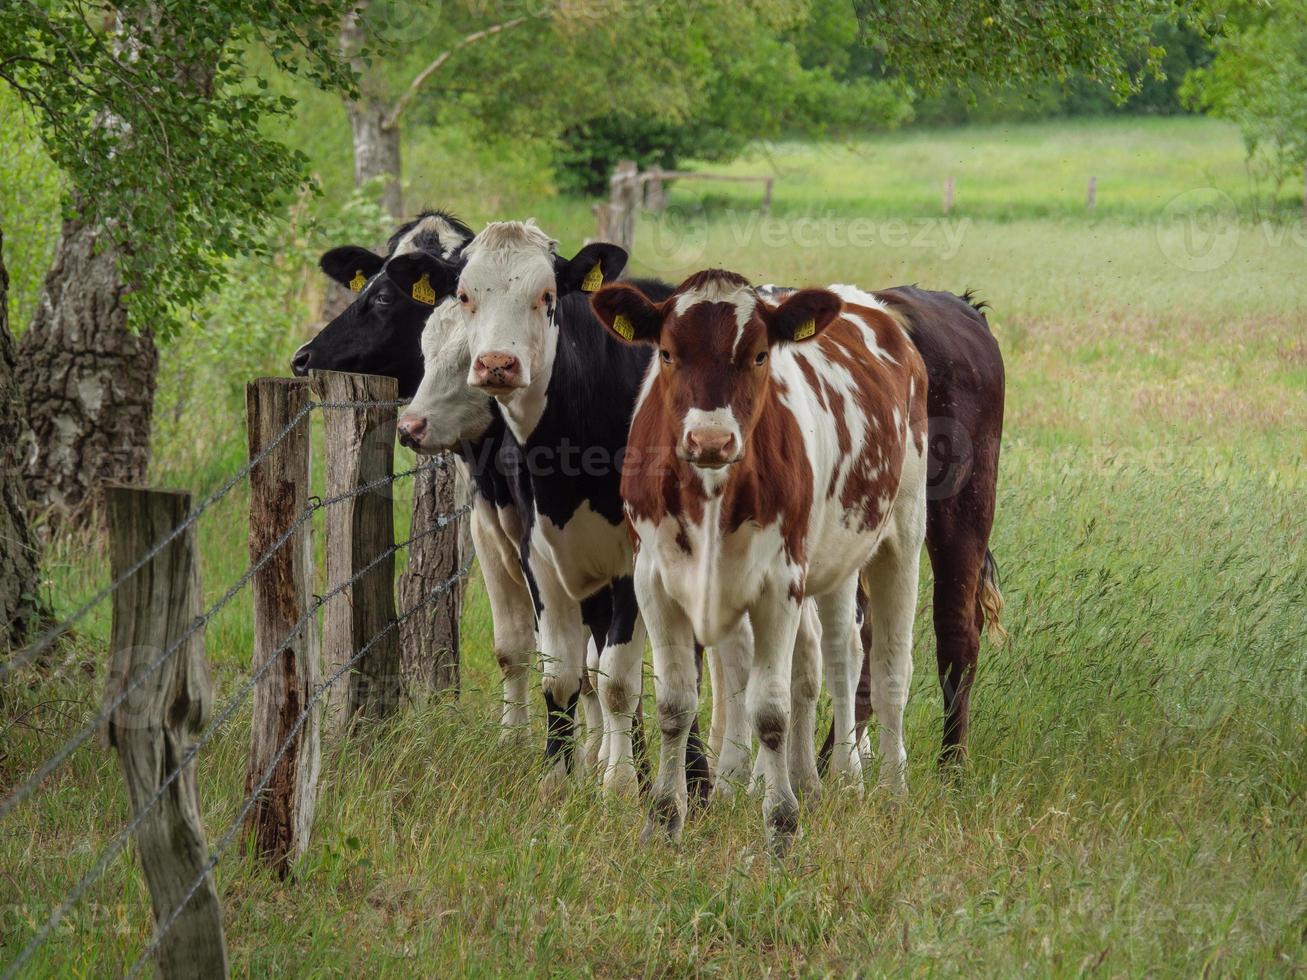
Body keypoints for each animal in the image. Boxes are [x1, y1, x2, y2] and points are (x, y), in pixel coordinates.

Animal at [593, 269, 930, 851]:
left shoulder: (779, 583)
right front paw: (665, 819)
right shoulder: (654, 580)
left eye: (757, 356)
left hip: (901, 533)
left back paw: (888, 790)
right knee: (828, 656)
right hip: (835, 561)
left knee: (885, 669)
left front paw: (781, 828)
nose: (710, 438)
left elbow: (769, 710)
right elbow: (675, 703)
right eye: (667, 353)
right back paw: (817, 780)